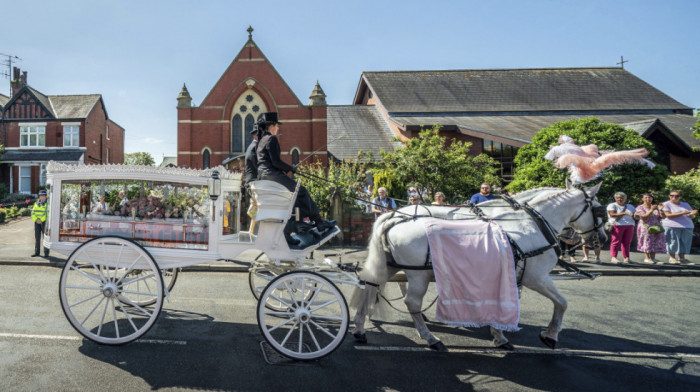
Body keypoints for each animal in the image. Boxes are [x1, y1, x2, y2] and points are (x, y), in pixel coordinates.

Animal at [350, 184, 608, 352]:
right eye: (599, 210)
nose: (602, 239)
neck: (529, 223)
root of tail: (394, 217)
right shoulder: (535, 276)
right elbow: (562, 302)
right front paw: (550, 335)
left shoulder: (510, 273)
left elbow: (505, 300)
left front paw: (499, 331)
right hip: (418, 273)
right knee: (411, 301)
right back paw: (430, 337)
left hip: (390, 265)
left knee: (370, 285)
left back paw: (360, 329)